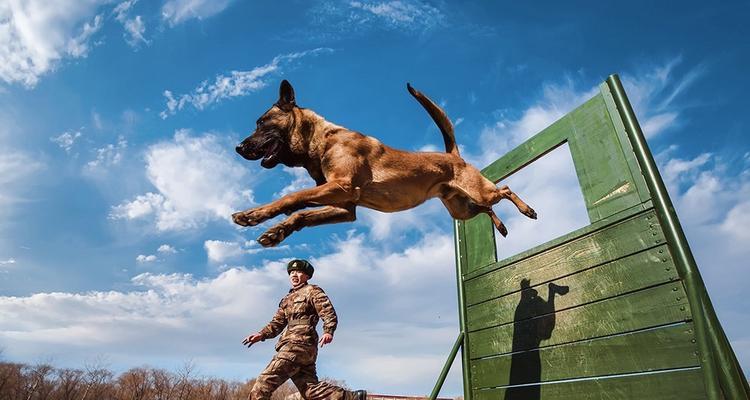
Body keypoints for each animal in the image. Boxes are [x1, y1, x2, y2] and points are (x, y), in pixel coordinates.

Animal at [232, 81, 536, 247]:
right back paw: (501, 226)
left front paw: (254, 215)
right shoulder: (344, 207)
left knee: (504, 190)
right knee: (486, 208)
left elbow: (293, 196)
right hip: (461, 210)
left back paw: (527, 210)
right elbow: (302, 214)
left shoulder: (342, 187)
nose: (239, 148)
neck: (322, 139)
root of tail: (454, 155)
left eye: (261, 122)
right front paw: (277, 232)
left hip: (480, 192)